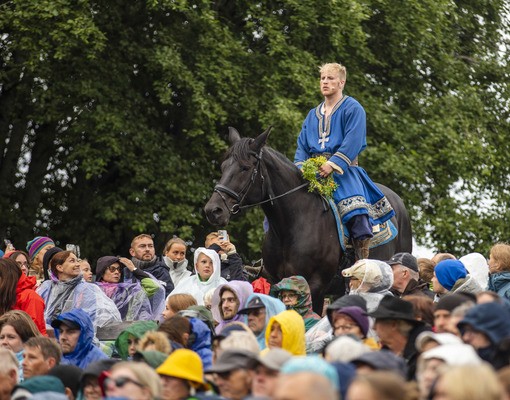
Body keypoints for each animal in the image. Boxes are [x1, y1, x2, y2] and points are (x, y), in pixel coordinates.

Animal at [202, 126, 410, 310]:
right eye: (223, 167)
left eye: (245, 168)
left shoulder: (315, 286)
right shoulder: (275, 283)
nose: (213, 210)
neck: (292, 224)